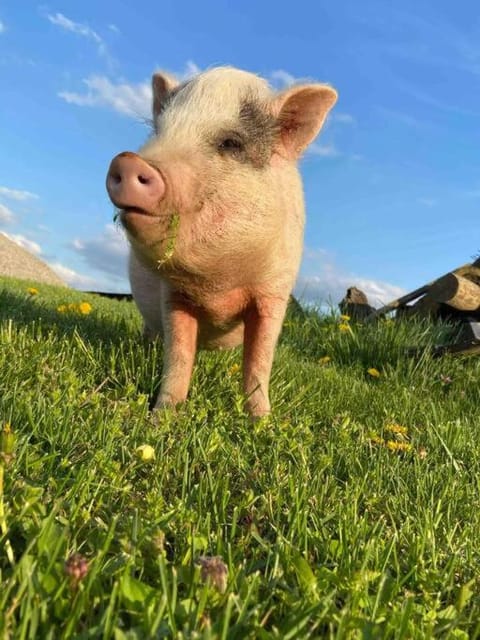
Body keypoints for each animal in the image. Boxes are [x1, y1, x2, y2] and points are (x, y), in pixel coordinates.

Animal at [105, 63, 338, 416]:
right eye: (159, 131)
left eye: (231, 143)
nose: (128, 161)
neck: (218, 289)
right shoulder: (172, 294)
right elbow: (178, 356)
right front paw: (161, 417)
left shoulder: (274, 293)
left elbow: (259, 362)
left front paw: (262, 421)